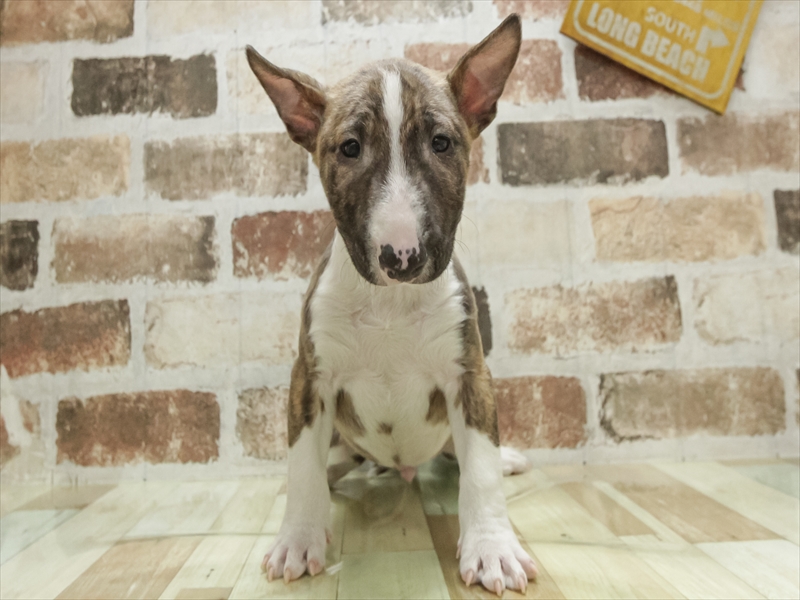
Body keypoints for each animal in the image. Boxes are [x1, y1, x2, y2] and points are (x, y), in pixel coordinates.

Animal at [246, 14, 537, 595]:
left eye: (442, 142)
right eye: (349, 148)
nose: (401, 257)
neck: (391, 304)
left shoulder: (469, 374)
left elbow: (481, 469)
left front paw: (492, 548)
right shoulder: (309, 377)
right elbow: (302, 468)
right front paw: (298, 540)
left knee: (467, 455)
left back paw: (508, 457)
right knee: (324, 469)